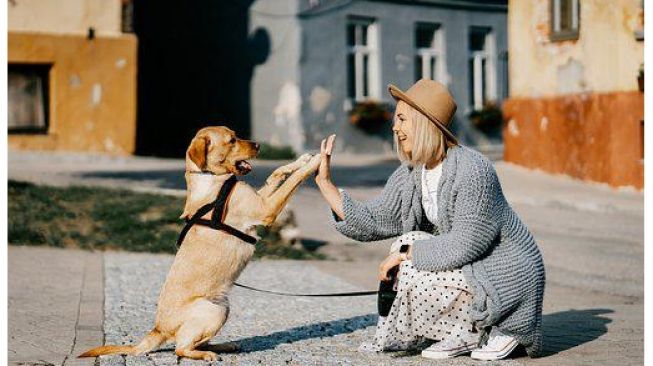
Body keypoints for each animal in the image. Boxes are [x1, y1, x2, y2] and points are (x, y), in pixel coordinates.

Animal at [77, 126, 322, 360]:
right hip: (212, 310)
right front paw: (316, 162)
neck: (211, 178)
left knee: (194, 342)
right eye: (231, 140)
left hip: (223, 307)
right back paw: (206, 354)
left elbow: (276, 173)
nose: (259, 145)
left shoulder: (260, 199)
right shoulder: (265, 209)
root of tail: (158, 329)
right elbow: (293, 180)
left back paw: (225, 345)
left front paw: (302, 160)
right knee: (181, 348)